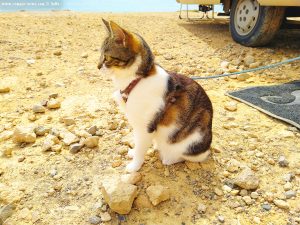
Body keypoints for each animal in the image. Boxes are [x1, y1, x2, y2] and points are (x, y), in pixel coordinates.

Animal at [97, 19, 212, 172]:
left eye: (106, 58)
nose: (98, 66)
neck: (137, 80)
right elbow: (137, 142)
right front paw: (134, 152)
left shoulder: (145, 127)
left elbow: (141, 148)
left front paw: (135, 165)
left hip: (192, 140)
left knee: (190, 155)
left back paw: (168, 157)